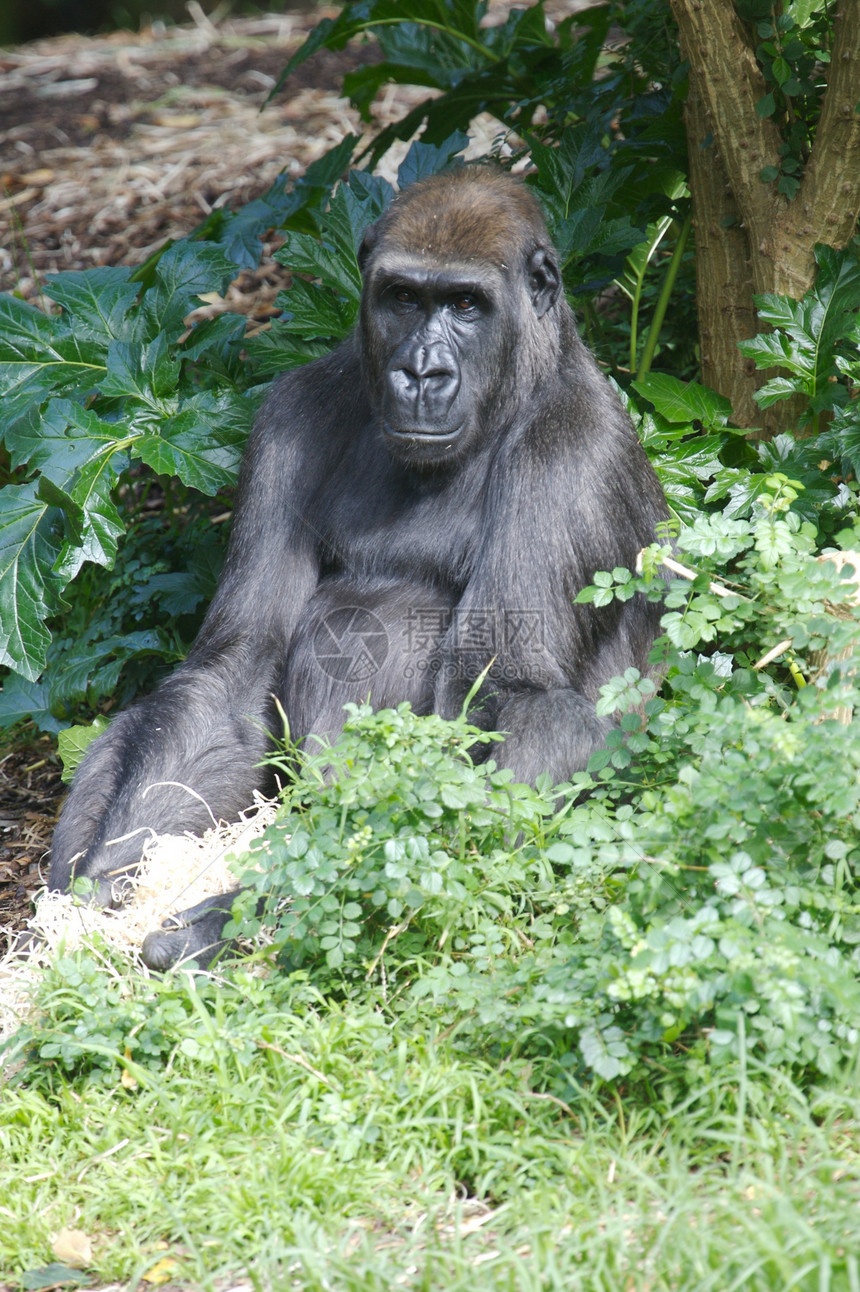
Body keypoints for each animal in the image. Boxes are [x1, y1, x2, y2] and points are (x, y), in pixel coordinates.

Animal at [46, 164, 666, 971]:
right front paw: (106, 882)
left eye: (467, 305)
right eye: (403, 298)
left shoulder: (572, 449)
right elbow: (236, 667)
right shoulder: (291, 412)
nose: (422, 373)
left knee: (549, 722)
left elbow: (504, 699)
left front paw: (236, 914)